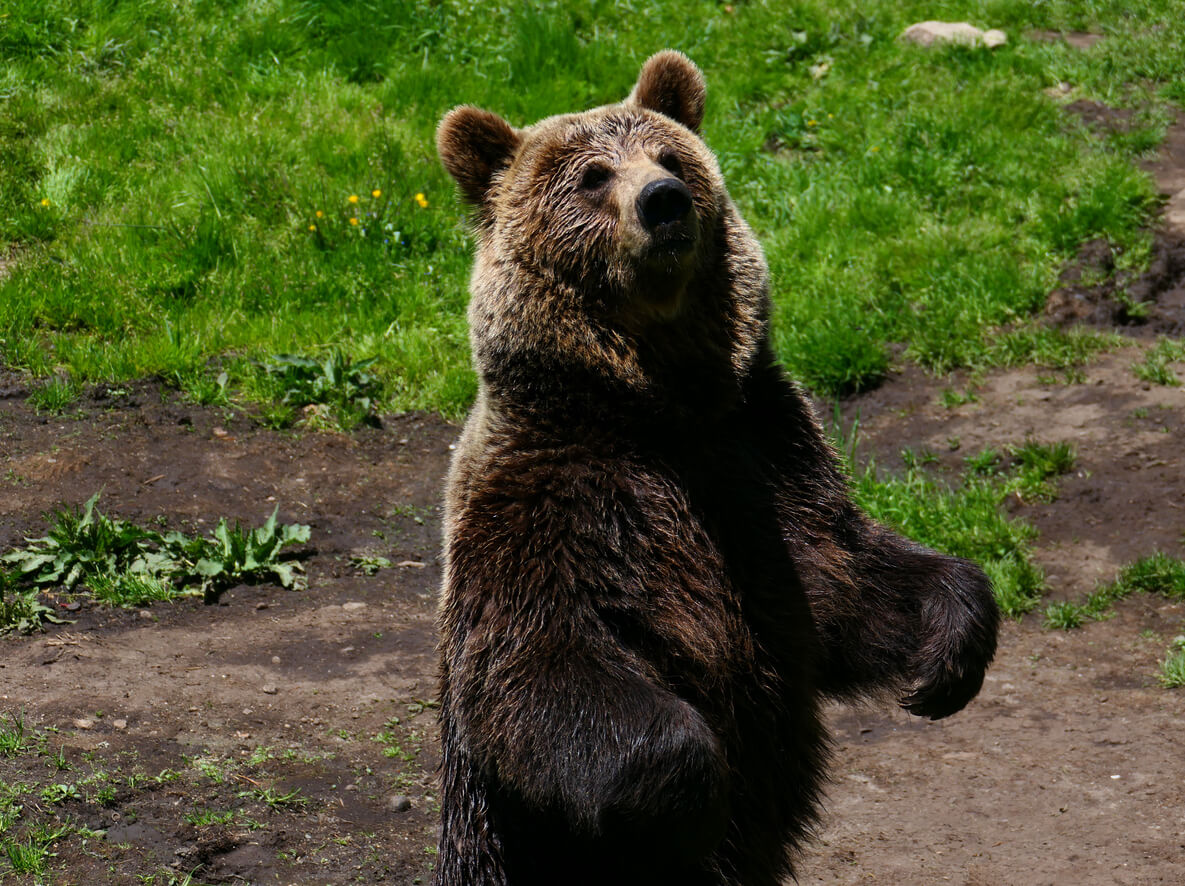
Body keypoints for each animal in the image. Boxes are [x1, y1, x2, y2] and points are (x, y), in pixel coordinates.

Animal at [436, 50, 1000, 886]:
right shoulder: (549, 504)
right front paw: (692, 795)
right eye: (592, 176)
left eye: (670, 158)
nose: (663, 202)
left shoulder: (759, 461)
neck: (657, 408)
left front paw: (945, 661)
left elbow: (842, 572)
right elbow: (536, 672)